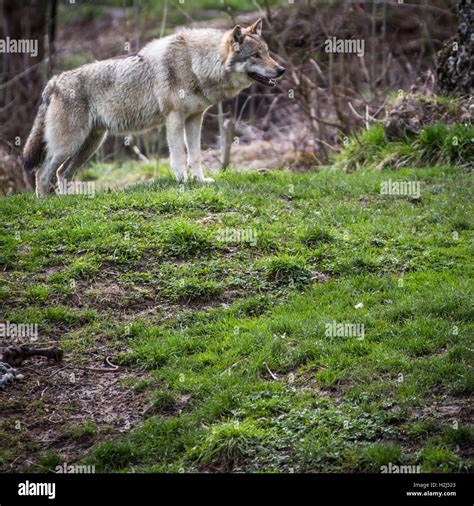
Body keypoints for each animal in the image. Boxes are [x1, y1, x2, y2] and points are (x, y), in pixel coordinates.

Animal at [22, 18, 286, 196]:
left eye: (267, 52)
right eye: (255, 55)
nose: (281, 70)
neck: (197, 64)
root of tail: (53, 81)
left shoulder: (194, 119)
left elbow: (196, 156)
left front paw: (200, 181)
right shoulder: (174, 118)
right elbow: (179, 155)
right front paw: (183, 182)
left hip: (89, 145)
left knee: (62, 173)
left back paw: (67, 200)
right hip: (69, 145)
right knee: (42, 172)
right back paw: (46, 203)